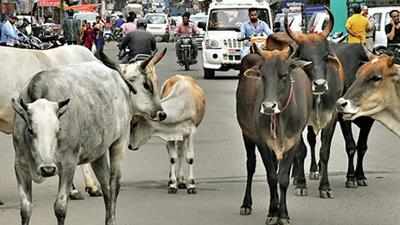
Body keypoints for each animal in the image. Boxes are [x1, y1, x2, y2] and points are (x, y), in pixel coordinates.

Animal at [11, 50, 166, 225]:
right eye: (30, 130)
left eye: (58, 129)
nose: (161, 113)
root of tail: (117, 76)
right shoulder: (20, 166)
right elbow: (25, 209)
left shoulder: (68, 165)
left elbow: (60, 207)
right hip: (98, 151)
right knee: (106, 187)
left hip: (119, 142)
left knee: (114, 184)